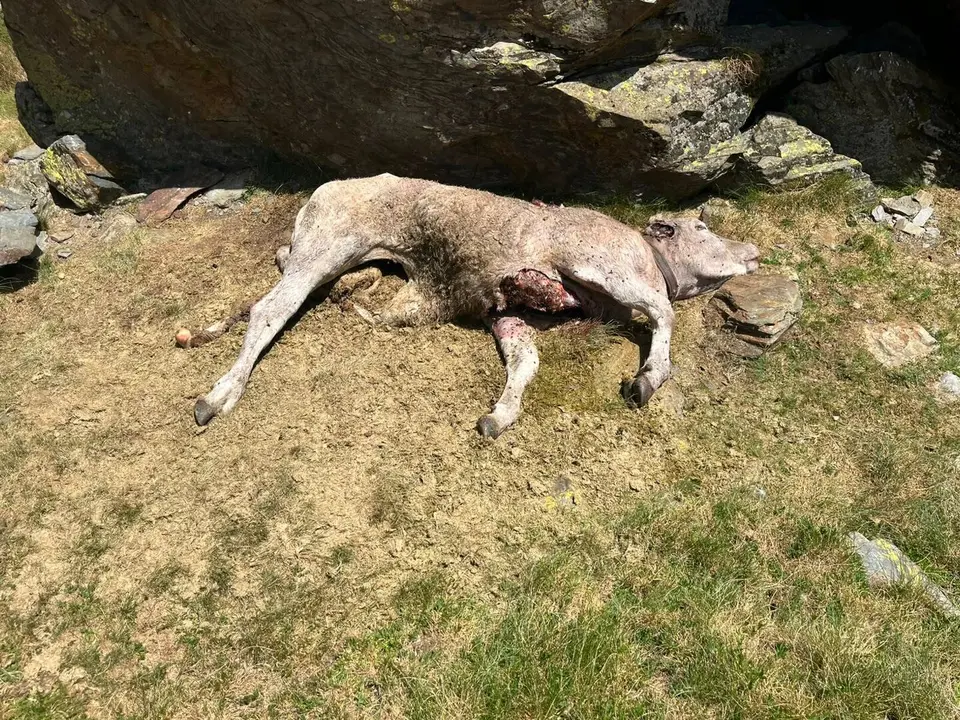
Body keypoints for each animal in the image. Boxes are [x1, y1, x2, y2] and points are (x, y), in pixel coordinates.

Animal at [185, 174, 759, 438]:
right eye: (702, 227)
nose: (752, 251)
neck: (651, 259)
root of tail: (324, 190)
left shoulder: (506, 312)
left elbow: (526, 362)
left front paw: (499, 416)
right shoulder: (599, 262)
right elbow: (664, 313)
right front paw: (648, 377)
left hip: (329, 257)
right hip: (328, 245)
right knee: (269, 309)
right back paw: (217, 396)